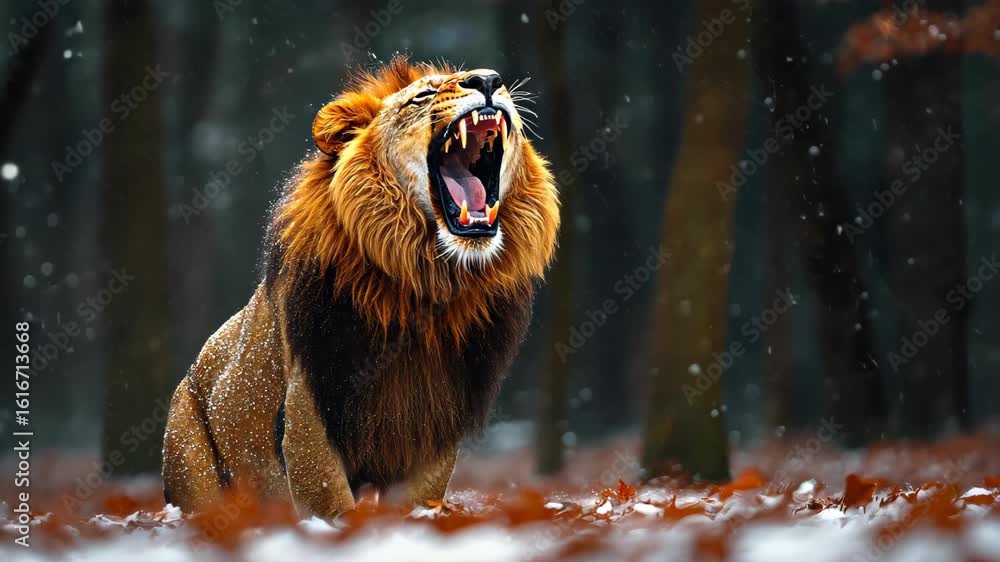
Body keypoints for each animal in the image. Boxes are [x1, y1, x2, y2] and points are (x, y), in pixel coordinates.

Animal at [162, 57, 560, 520]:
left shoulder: (435, 420)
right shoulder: (310, 408)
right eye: (423, 96)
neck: (423, 285)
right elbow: (329, 503)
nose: (488, 80)